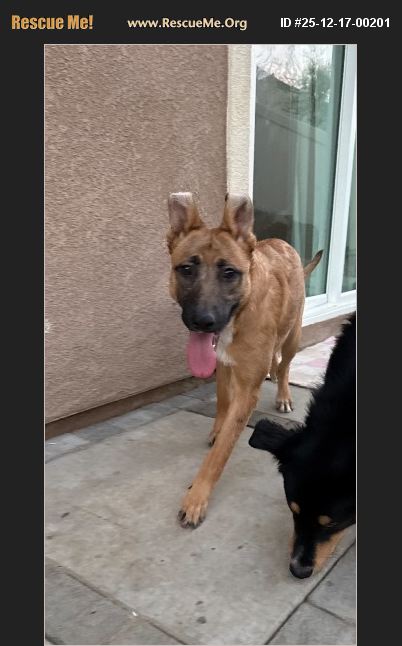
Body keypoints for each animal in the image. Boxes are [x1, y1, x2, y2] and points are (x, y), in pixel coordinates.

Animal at [167, 192, 322, 528]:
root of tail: (281, 241)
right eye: (186, 269)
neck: (241, 311)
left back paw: (283, 393)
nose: (202, 322)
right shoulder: (223, 365)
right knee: (275, 360)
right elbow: (223, 403)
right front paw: (217, 428)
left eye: (229, 273)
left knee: (285, 363)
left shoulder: (247, 391)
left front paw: (197, 497)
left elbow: (220, 453)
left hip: (293, 334)